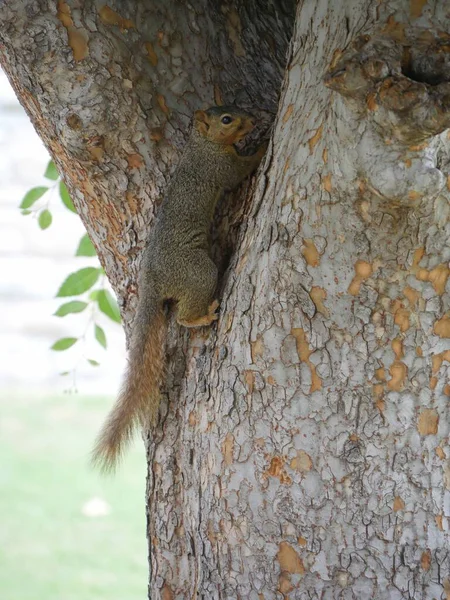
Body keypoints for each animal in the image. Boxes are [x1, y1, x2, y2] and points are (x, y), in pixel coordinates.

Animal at [92, 108, 268, 474]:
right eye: (227, 119)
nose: (252, 119)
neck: (201, 145)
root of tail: (153, 280)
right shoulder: (219, 167)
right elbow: (241, 170)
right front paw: (265, 141)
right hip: (197, 272)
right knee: (185, 314)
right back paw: (202, 316)